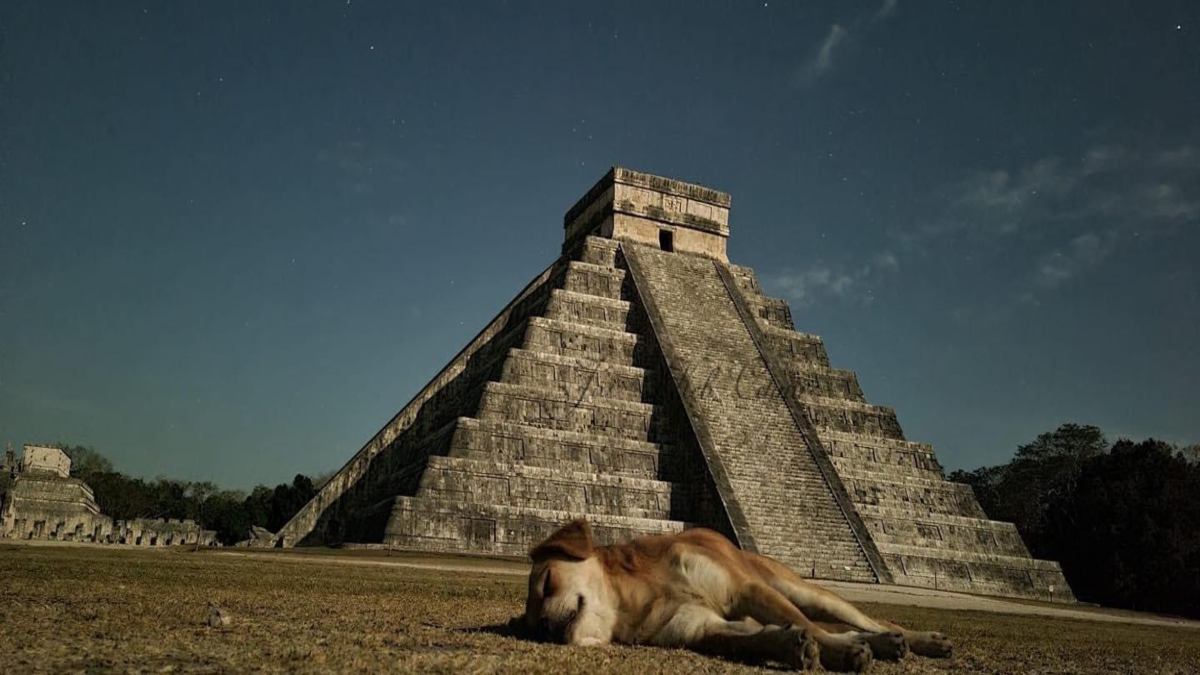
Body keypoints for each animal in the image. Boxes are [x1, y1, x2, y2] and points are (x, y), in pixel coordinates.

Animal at [520, 516, 950, 667]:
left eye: (547, 582)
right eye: (532, 629)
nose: (546, 628)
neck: (636, 598)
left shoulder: (744, 590)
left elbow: (810, 627)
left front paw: (838, 653)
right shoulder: (699, 629)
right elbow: (754, 638)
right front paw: (790, 645)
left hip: (801, 590)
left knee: (866, 620)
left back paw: (919, 640)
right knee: (850, 626)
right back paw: (888, 645)